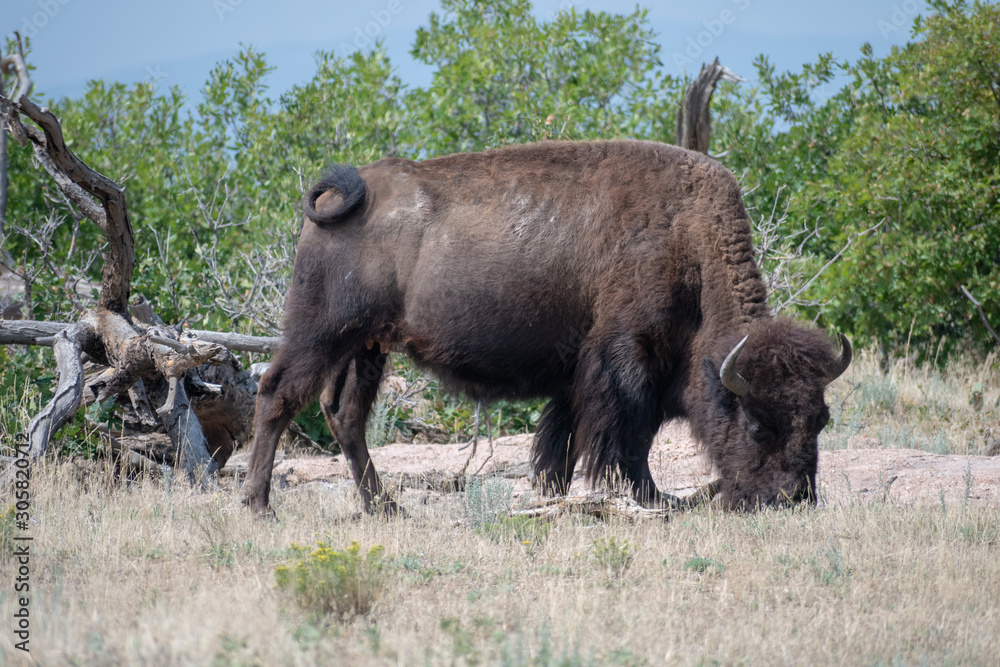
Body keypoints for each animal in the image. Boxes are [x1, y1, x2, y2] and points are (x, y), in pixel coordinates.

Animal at [238, 140, 848, 516]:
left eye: (819, 420)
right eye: (757, 425)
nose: (793, 499)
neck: (685, 241)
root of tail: (349, 190)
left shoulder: (580, 377)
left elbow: (564, 441)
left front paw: (553, 496)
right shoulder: (626, 361)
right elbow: (625, 438)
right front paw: (646, 499)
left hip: (365, 345)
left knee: (344, 415)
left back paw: (385, 508)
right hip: (320, 332)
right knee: (277, 394)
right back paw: (259, 507)